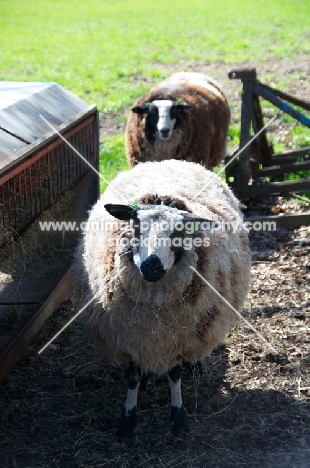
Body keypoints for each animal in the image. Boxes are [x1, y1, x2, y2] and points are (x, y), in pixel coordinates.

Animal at [75, 159, 252, 440]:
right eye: (136, 225)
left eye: (178, 231)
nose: (152, 265)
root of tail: (169, 160)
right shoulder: (128, 339)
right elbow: (132, 378)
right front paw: (128, 421)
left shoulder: (179, 339)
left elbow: (175, 374)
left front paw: (178, 417)